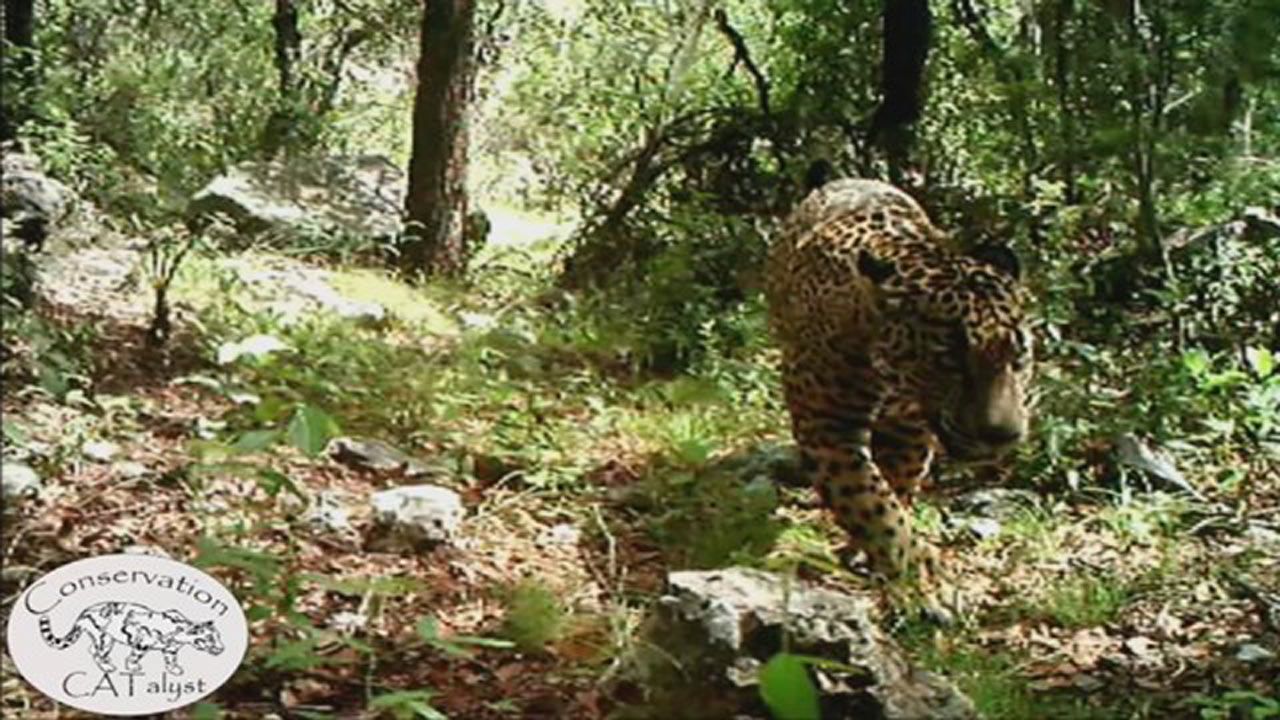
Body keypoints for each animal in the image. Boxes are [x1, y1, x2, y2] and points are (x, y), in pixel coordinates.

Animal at [765, 177, 1033, 610]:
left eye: (1019, 355)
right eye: (950, 358)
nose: (1002, 435)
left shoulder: (908, 430)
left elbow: (895, 488)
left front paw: (876, 555)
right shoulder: (828, 424)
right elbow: (870, 501)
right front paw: (920, 579)